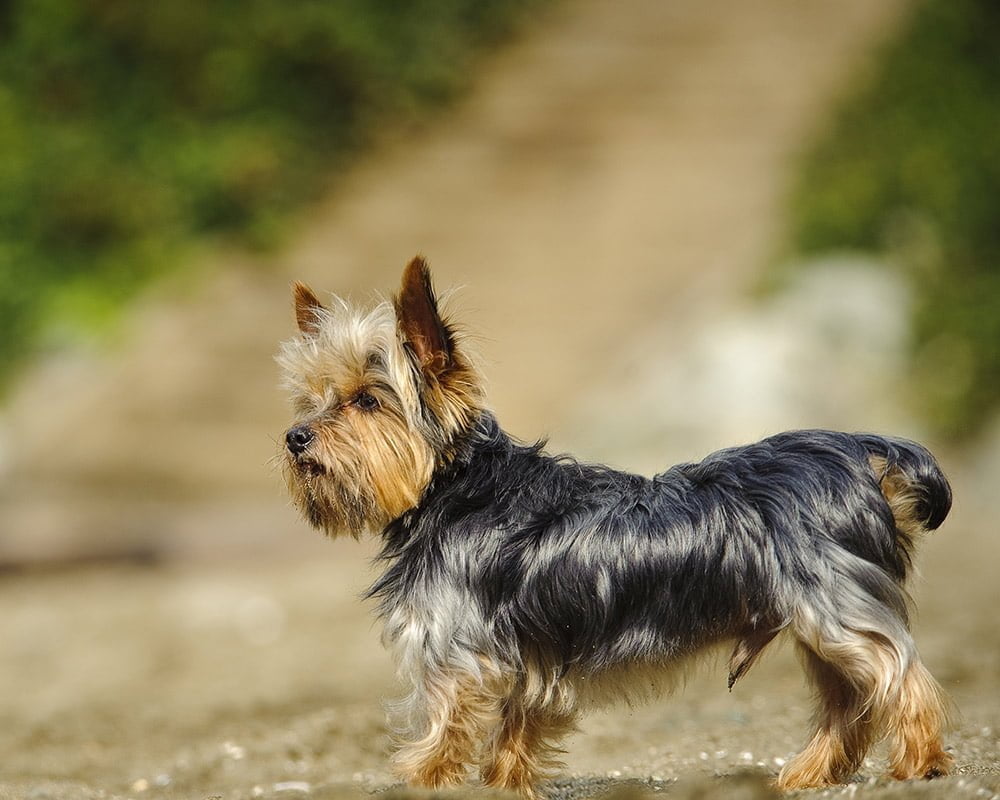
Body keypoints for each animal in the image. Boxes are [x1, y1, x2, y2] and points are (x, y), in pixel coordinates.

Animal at [276, 256, 952, 792]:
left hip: (834, 608)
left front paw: (423, 781)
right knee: (848, 701)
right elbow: (511, 742)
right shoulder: (528, 664)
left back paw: (919, 763)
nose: (294, 436)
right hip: (813, 622)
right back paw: (809, 774)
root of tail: (858, 448)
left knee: (897, 670)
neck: (458, 491)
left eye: (368, 400)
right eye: (311, 398)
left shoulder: (454, 657)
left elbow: (441, 740)